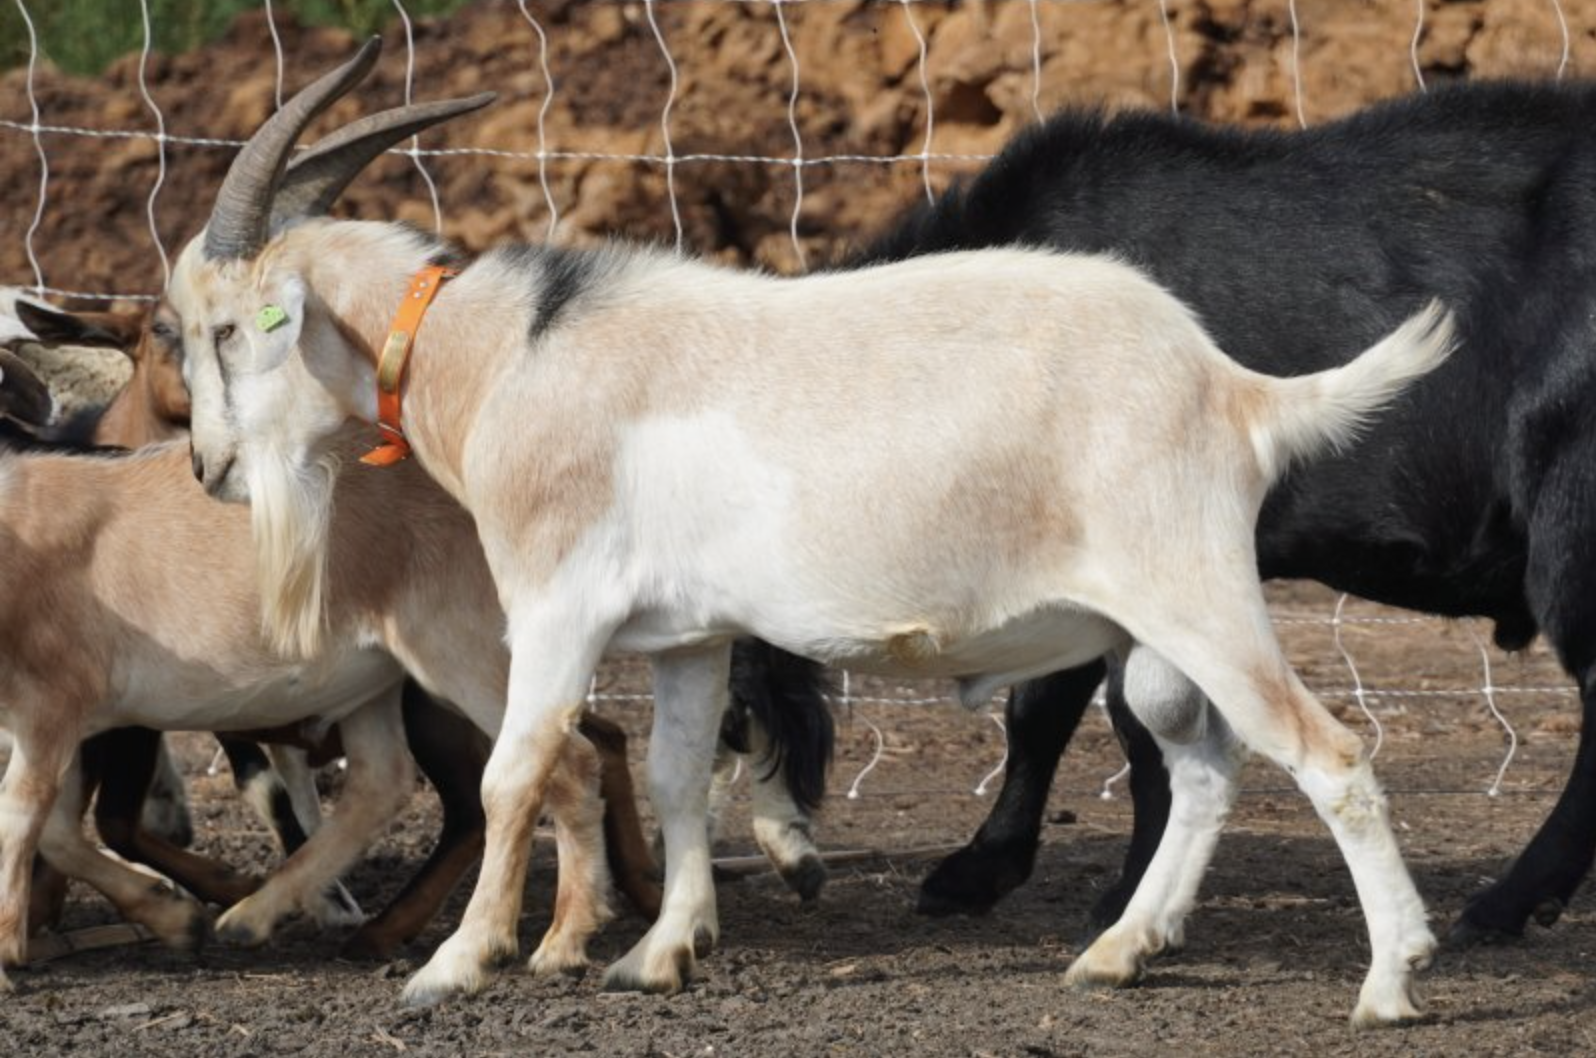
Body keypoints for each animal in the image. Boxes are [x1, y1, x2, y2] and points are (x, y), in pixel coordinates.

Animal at [171, 41, 1461, 1027]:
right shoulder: (689, 634)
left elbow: (516, 766)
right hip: (1148, 632)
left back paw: (1391, 982)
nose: (207, 467)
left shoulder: (556, 601)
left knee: (1327, 753)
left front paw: (453, 966)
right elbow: (675, 770)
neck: (503, 355)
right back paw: (1116, 953)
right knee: (1202, 764)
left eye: (227, 328)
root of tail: (1235, 390)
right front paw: (661, 952)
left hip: (1194, 586)